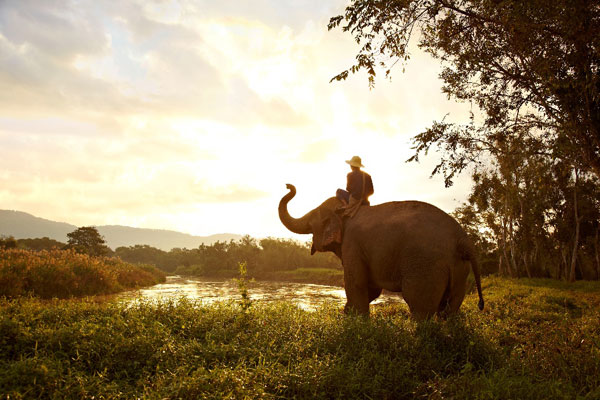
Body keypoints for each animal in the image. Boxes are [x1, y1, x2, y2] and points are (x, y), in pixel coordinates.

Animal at [278, 184, 486, 318]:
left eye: (313, 222)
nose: (289, 186)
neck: (346, 210)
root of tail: (462, 238)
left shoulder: (352, 244)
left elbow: (356, 283)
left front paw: (356, 322)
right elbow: (371, 288)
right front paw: (347, 313)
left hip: (426, 265)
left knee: (419, 306)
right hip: (460, 268)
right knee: (450, 309)